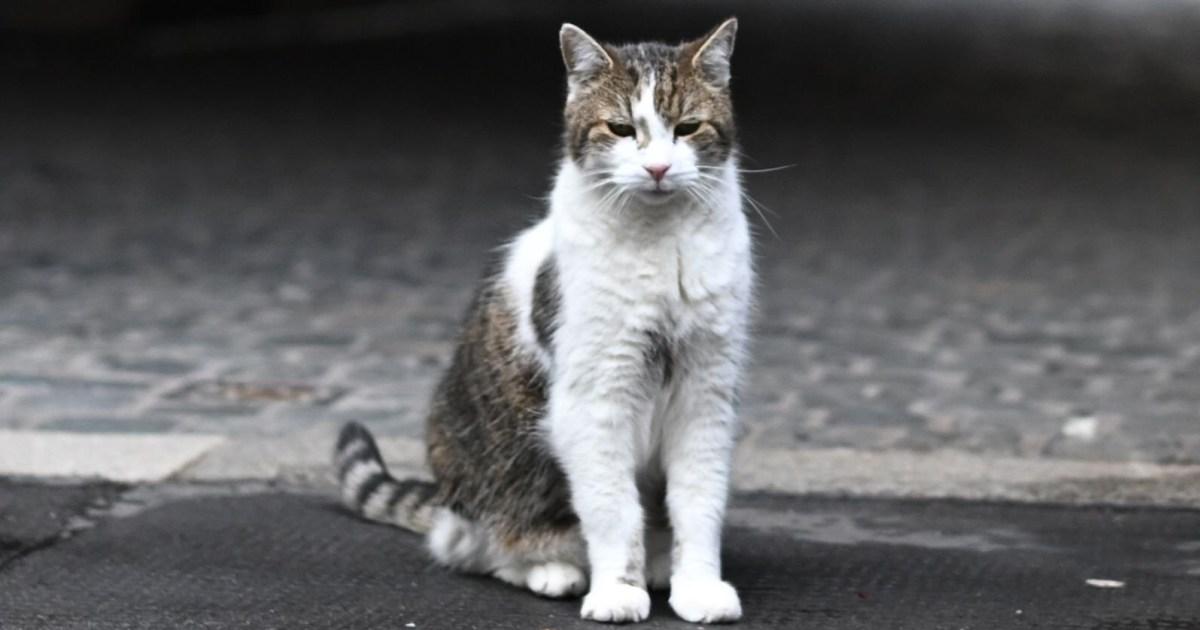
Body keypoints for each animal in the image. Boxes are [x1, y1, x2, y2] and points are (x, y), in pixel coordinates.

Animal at [336, 19, 748, 624]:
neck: (661, 240)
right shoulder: (596, 398)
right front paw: (617, 591)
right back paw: (553, 568)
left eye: (688, 127)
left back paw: (657, 564)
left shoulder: (706, 392)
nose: (657, 168)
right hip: (502, 468)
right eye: (621, 129)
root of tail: (445, 500)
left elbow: (699, 502)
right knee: (475, 547)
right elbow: (612, 509)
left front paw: (696, 586)